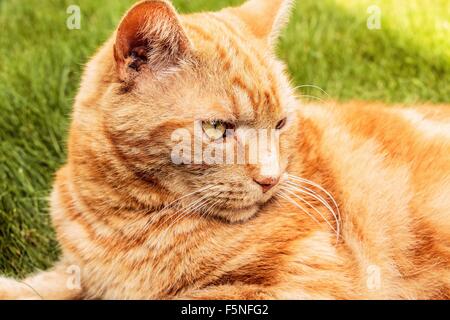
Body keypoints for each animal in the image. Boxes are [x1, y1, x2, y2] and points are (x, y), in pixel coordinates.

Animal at [0, 0, 450, 300]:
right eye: (218, 129)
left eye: (281, 124)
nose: (271, 179)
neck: (118, 221)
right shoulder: (77, 272)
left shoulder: (303, 281)